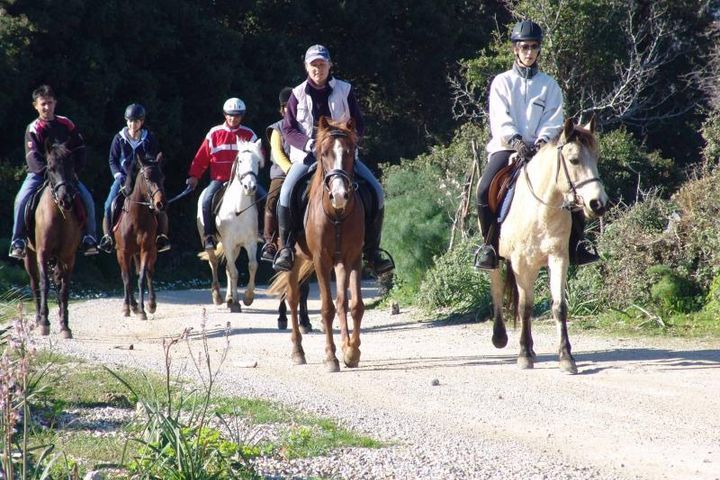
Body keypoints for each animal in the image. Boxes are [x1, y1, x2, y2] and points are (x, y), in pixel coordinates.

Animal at [24, 142, 83, 338]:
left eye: (71, 166)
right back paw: (37, 319)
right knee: (34, 282)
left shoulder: (68, 256)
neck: (58, 213)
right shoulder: (42, 253)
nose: (66, 199)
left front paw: (65, 326)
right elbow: (44, 284)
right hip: (29, 255)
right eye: (50, 168)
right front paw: (44, 323)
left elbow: (64, 288)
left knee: (57, 281)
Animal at [113, 152, 167, 320]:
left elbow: (142, 277)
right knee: (128, 276)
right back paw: (132, 305)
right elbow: (126, 278)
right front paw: (127, 308)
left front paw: (143, 310)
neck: (136, 218)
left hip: (150, 252)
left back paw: (150, 304)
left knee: (149, 272)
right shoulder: (123, 252)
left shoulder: (146, 249)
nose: (161, 204)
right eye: (148, 178)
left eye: (162, 177)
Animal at [197, 139, 264, 312]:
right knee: (214, 262)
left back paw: (229, 298)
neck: (238, 209)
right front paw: (235, 302)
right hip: (210, 240)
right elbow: (234, 272)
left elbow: (252, 266)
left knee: (228, 267)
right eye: (240, 161)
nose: (250, 187)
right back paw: (218, 297)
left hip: (236, 247)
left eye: (257, 162)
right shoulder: (227, 242)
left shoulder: (250, 242)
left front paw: (247, 298)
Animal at [268, 118, 366, 374]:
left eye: (350, 152)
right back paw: (297, 351)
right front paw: (331, 357)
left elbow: (354, 305)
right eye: (323, 153)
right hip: (294, 261)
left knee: (341, 302)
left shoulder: (353, 258)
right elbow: (326, 309)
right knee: (292, 298)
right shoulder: (321, 260)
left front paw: (351, 352)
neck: (337, 214)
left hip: (338, 263)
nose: (339, 195)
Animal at [490, 118, 608, 374]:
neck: (540, 210)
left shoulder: (558, 258)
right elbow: (524, 307)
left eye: (597, 157)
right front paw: (524, 355)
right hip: (499, 260)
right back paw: (500, 337)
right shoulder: (521, 264)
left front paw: (566, 357)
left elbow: (559, 306)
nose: (598, 203)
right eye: (573, 160)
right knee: (496, 289)